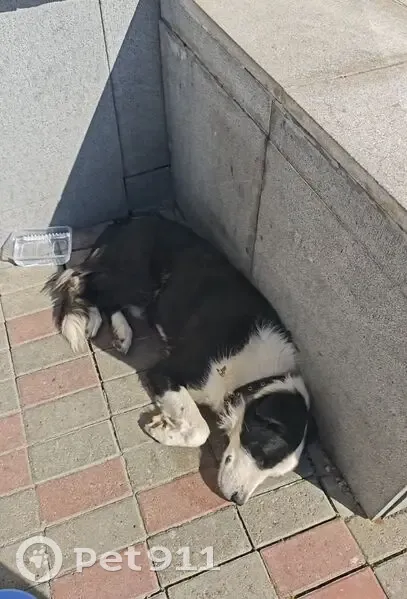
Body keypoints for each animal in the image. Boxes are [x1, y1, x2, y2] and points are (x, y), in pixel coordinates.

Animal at [45, 215, 310, 505]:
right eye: (260, 454)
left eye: (273, 474)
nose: (237, 500)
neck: (256, 378)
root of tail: (133, 217)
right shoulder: (164, 372)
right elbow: (200, 430)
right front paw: (163, 429)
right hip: (139, 282)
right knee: (89, 287)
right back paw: (100, 321)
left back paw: (118, 330)